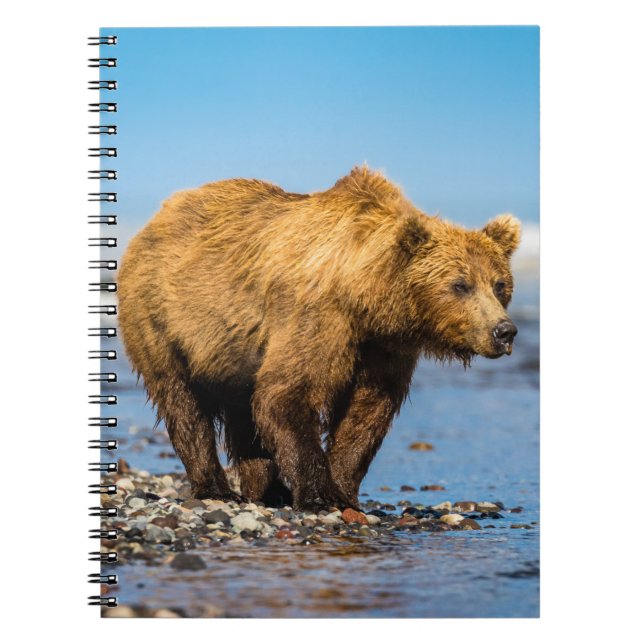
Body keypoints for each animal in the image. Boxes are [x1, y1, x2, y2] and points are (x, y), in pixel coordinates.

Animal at [117, 165, 520, 511]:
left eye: (499, 284)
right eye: (460, 285)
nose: (504, 331)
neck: (365, 295)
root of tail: (154, 221)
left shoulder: (384, 345)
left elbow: (367, 410)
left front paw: (342, 488)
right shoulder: (319, 316)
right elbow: (288, 392)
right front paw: (319, 495)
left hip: (235, 350)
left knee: (243, 411)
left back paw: (268, 490)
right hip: (161, 318)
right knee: (182, 401)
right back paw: (216, 488)